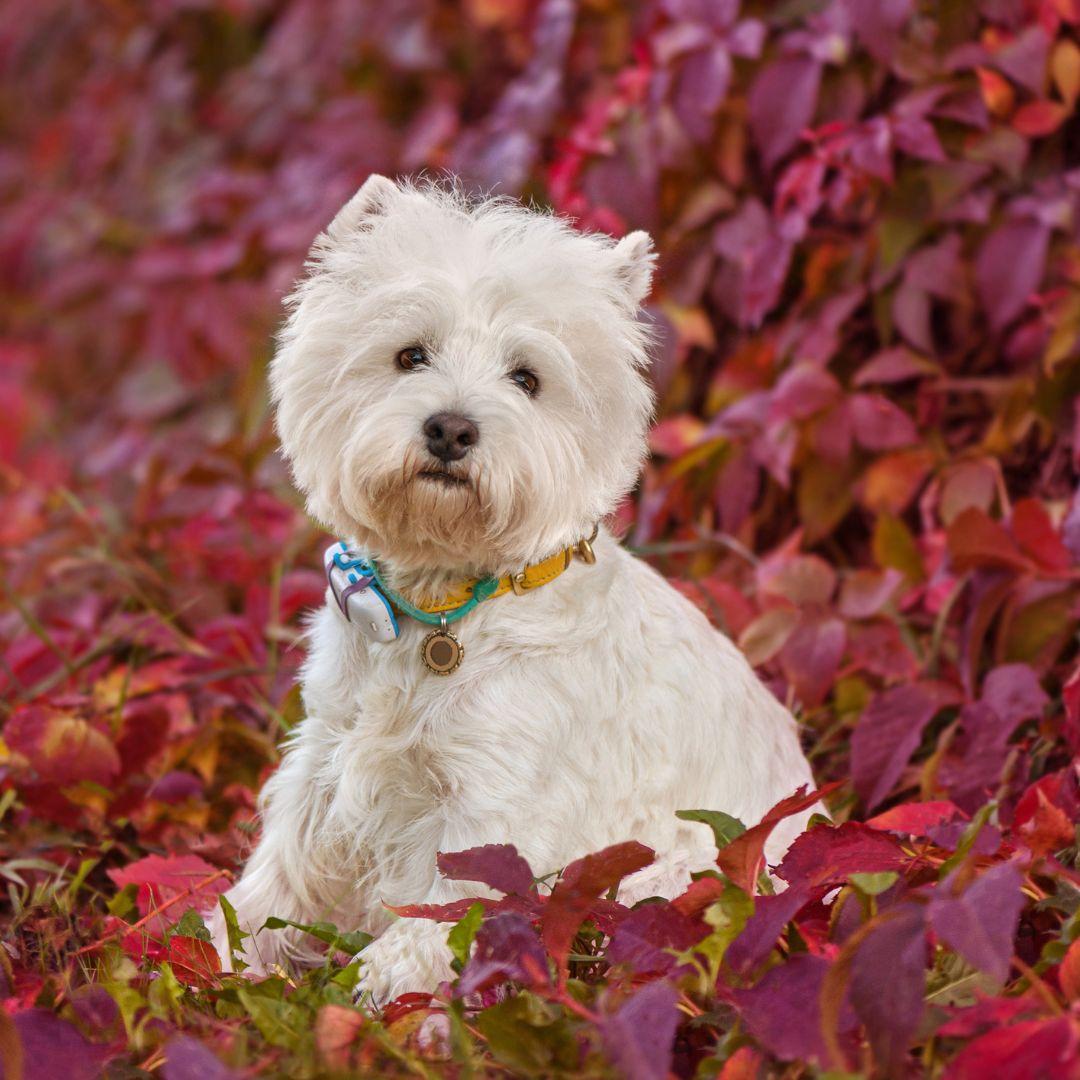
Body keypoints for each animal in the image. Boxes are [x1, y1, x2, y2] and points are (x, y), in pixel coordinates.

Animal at [210, 174, 812, 993]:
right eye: (410, 355)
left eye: (528, 379)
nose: (451, 430)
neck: (440, 604)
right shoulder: (327, 749)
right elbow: (282, 866)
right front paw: (219, 948)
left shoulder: (499, 794)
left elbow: (452, 895)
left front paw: (384, 985)